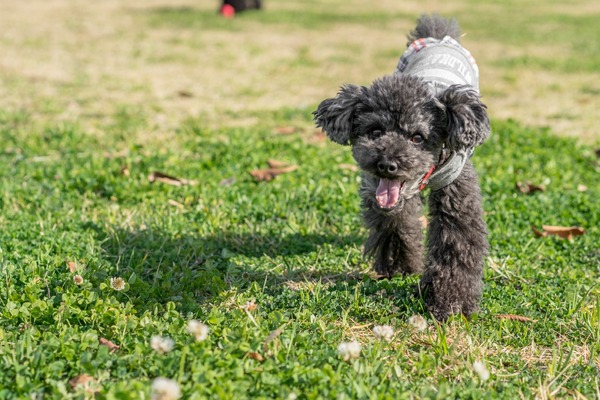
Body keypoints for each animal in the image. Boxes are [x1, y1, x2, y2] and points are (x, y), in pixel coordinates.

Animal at [312, 15, 490, 320]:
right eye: (375, 131)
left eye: (417, 137)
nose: (387, 164)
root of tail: (438, 36)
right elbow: (395, 225)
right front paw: (399, 266)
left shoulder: (456, 189)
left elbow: (455, 243)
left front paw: (450, 302)